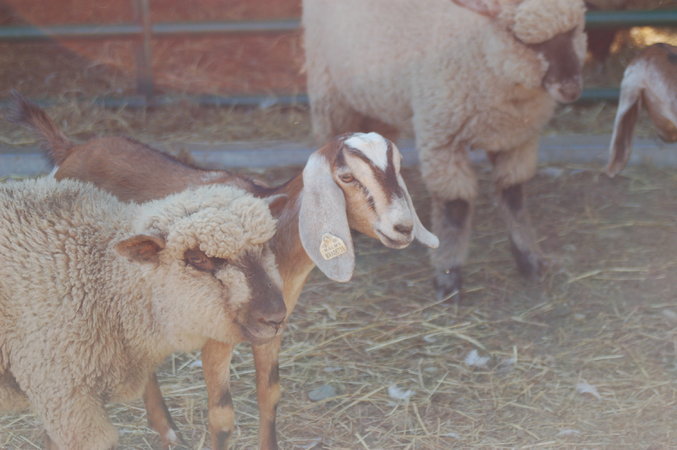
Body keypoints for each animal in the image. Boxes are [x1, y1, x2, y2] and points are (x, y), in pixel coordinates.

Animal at [302, 0, 587, 300]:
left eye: (575, 29)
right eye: (519, 38)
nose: (570, 88)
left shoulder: (517, 141)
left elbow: (514, 197)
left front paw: (529, 259)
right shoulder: (442, 137)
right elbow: (455, 208)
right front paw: (448, 277)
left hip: (375, 100)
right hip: (328, 91)